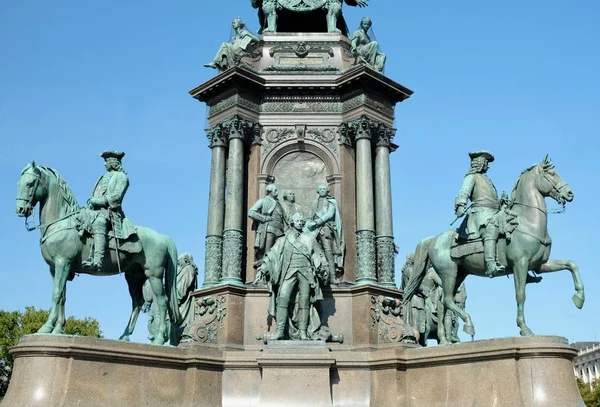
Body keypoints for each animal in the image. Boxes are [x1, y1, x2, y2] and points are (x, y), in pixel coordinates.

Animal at [15, 161, 179, 346]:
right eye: (19, 184)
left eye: (29, 184)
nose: (20, 209)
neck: (61, 223)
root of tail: (163, 237)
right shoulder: (55, 268)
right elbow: (62, 296)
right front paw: (58, 329)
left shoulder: (62, 263)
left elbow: (56, 294)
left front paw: (47, 327)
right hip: (134, 277)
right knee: (137, 303)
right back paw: (124, 336)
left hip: (154, 275)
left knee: (162, 301)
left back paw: (159, 338)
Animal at [404, 156, 584, 344]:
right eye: (551, 173)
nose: (569, 194)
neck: (527, 222)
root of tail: (434, 239)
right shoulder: (520, 265)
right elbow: (520, 295)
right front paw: (524, 328)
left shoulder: (540, 265)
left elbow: (571, 264)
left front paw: (579, 298)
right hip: (448, 273)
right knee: (447, 300)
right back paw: (468, 324)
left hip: (459, 274)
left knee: (442, 304)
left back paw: (445, 341)